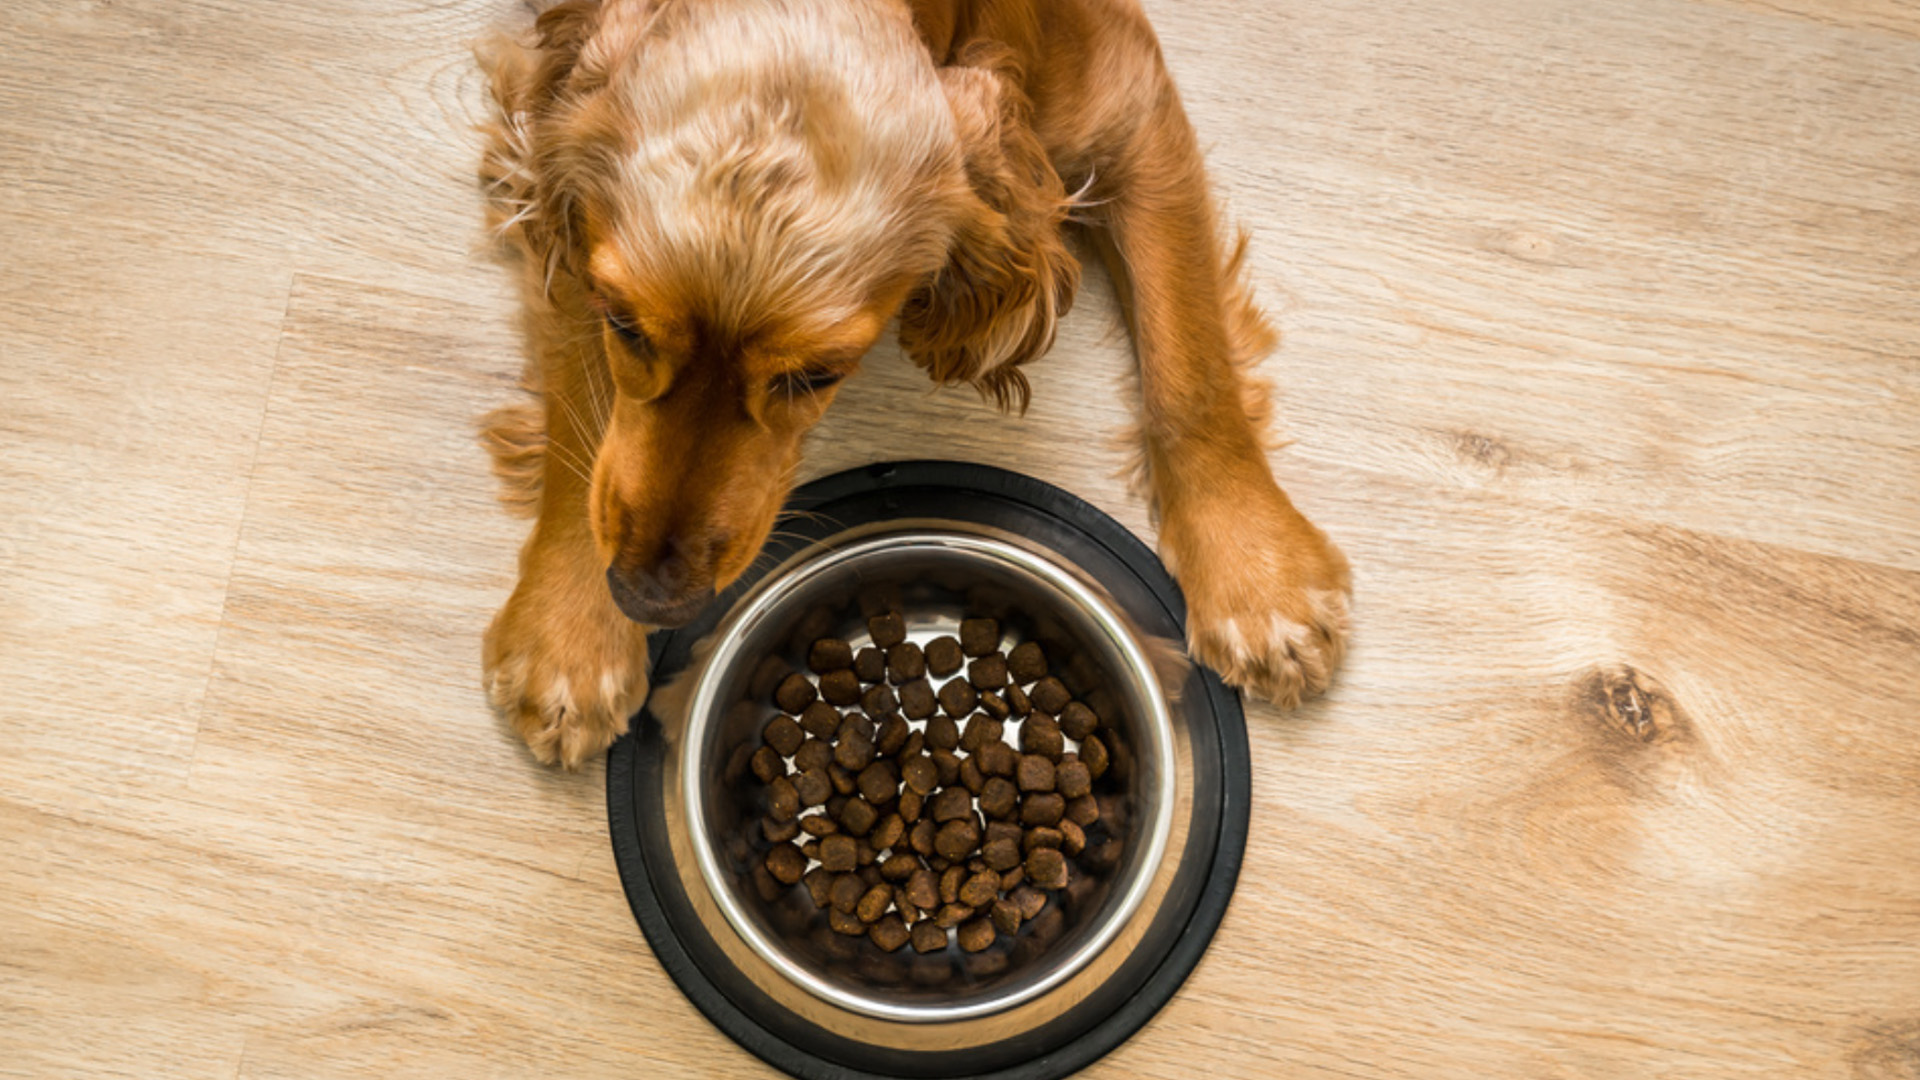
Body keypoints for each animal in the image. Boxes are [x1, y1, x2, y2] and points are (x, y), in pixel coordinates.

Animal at [480, 0, 1351, 764]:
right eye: (621, 323)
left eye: (817, 374)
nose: (648, 599)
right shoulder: (543, 154)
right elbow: (580, 412)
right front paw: (572, 638)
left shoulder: (1128, 97)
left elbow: (1189, 360)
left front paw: (1256, 578)